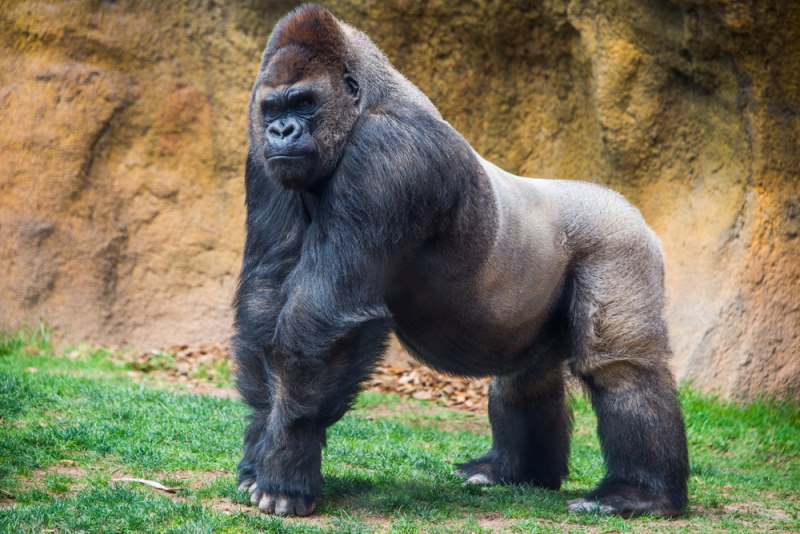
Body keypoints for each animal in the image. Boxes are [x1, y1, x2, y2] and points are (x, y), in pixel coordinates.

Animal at [232, 4, 689, 518]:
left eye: (305, 102)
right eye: (273, 109)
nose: (281, 131)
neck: (367, 101)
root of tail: (624, 204)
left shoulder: (388, 154)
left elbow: (325, 317)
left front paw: (286, 464)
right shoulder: (262, 161)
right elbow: (265, 300)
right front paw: (260, 449)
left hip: (619, 240)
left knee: (621, 366)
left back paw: (639, 493)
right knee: (526, 376)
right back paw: (516, 471)